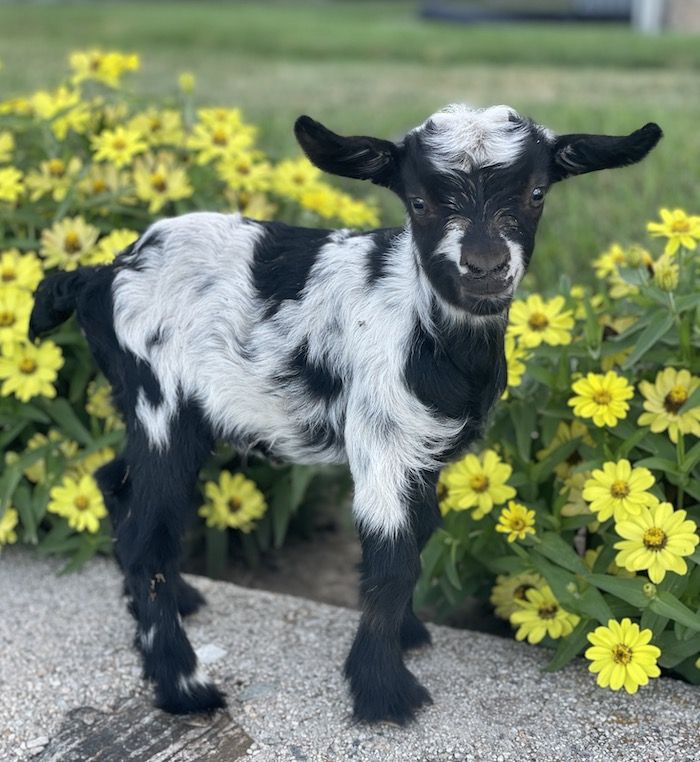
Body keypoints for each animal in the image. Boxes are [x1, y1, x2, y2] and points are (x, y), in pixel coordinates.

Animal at [29, 104, 661, 724]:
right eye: (419, 201)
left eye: (536, 193)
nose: (485, 266)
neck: (427, 331)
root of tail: (101, 273)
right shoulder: (380, 438)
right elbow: (392, 558)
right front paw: (382, 692)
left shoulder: (424, 449)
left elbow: (421, 533)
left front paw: (406, 636)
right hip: (161, 401)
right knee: (148, 540)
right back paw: (184, 687)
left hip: (154, 409)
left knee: (115, 482)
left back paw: (171, 604)